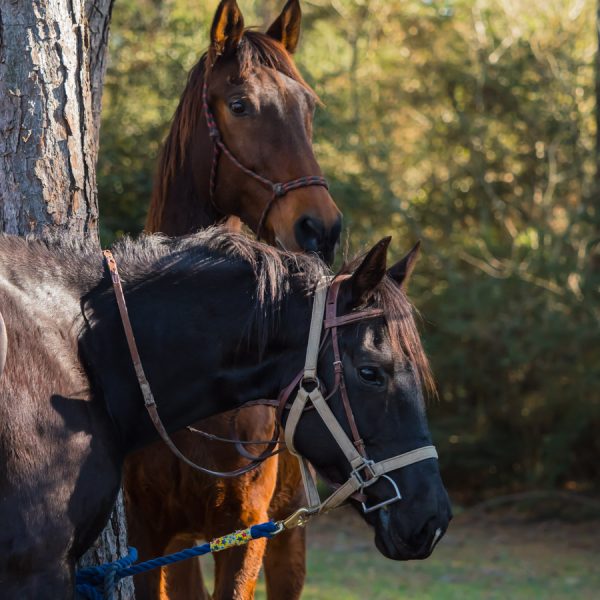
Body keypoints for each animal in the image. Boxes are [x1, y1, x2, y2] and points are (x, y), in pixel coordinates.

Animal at [125, 2, 338, 596]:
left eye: (308, 107)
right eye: (239, 105)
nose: (321, 228)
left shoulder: (244, 533)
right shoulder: (148, 536)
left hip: (287, 535)